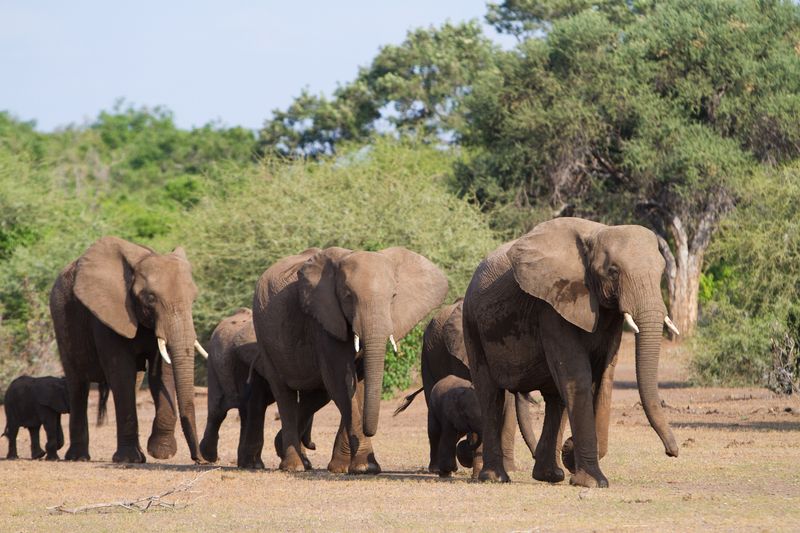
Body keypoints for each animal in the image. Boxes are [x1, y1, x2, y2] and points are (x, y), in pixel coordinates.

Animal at [48, 237, 208, 462]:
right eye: (150, 298)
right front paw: (129, 459)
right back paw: (78, 457)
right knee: (78, 384)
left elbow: (161, 372)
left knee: (134, 381)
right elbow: (120, 372)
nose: (200, 459)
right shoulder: (106, 314)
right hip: (62, 320)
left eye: (193, 299)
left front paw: (161, 452)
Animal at [198, 308, 314, 466]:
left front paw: (305, 463)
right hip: (213, 366)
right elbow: (257, 404)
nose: (313, 445)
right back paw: (209, 457)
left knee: (244, 413)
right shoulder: (250, 362)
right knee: (218, 411)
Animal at [394, 300, 536, 474]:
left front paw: (509, 469)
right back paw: (436, 468)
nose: (535, 456)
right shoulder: (461, 352)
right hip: (426, 356)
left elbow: (508, 407)